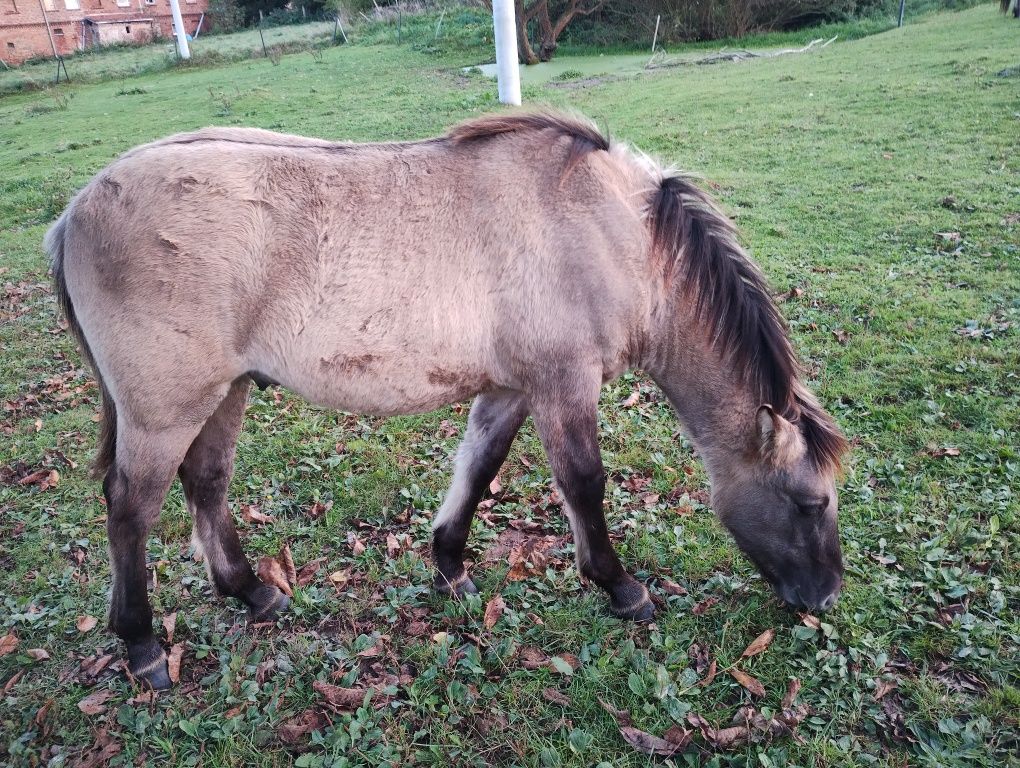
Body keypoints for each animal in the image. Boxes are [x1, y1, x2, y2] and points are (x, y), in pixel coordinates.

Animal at [45, 109, 844, 689]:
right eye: (809, 502)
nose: (826, 597)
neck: (608, 229)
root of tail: (74, 212)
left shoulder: (512, 388)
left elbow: (479, 468)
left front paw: (450, 565)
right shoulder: (564, 385)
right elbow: (585, 486)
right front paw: (621, 587)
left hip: (224, 392)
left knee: (206, 483)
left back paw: (251, 592)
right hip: (164, 411)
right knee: (131, 509)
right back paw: (143, 646)